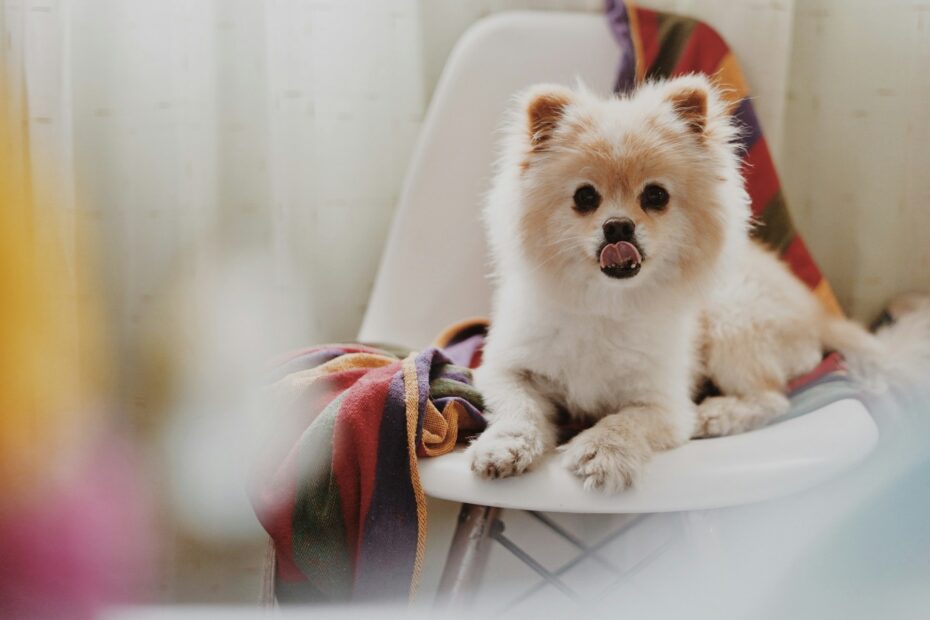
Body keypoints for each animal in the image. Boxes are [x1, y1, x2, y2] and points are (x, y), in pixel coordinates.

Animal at [468, 72, 928, 492]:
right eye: (585, 198)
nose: (618, 226)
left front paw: (601, 451)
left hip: (732, 322)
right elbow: (520, 409)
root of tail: (818, 312)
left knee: (771, 398)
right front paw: (504, 447)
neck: (607, 303)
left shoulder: (664, 405)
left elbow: (624, 420)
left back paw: (716, 414)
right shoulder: (506, 369)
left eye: (655, 196)